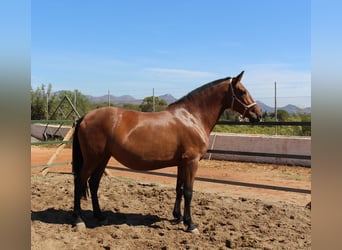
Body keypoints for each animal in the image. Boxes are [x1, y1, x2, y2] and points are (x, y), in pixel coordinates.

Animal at [71, 70, 260, 232]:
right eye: (242, 91)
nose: (258, 115)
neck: (192, 117)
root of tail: (85, 117)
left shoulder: (182, 162)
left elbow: (179, 188)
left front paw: (177, 217)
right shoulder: (192, 161)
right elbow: (189, 191)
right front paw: (190, 224)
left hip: (103, 158)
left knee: (93, 183)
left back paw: (100, 216)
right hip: (93, 159)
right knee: (79, 182)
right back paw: (78, 220)